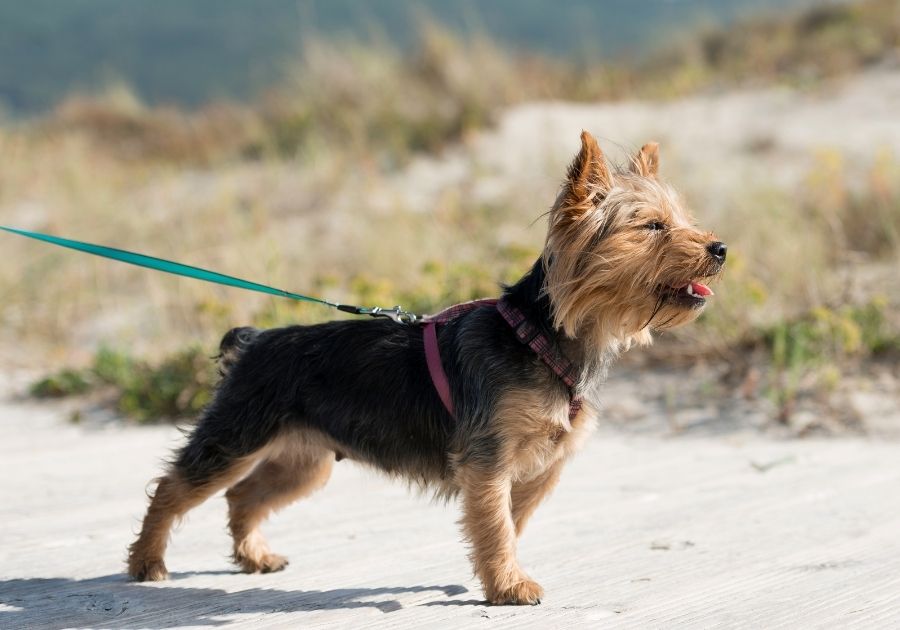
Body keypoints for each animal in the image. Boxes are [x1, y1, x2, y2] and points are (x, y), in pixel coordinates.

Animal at [126, 132, 728, 608]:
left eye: (686, 222)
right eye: (652, 227)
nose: (721, 247)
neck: (540, 337)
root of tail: (253, 342)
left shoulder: (539, 467)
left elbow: (509, 522)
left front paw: (499, 577)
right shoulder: (488, 459)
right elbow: (497, 523)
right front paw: (509, 586)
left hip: (304, 460)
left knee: (241, 496)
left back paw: (253, 555)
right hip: (238, 436)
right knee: (174, 486)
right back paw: (147, 562)